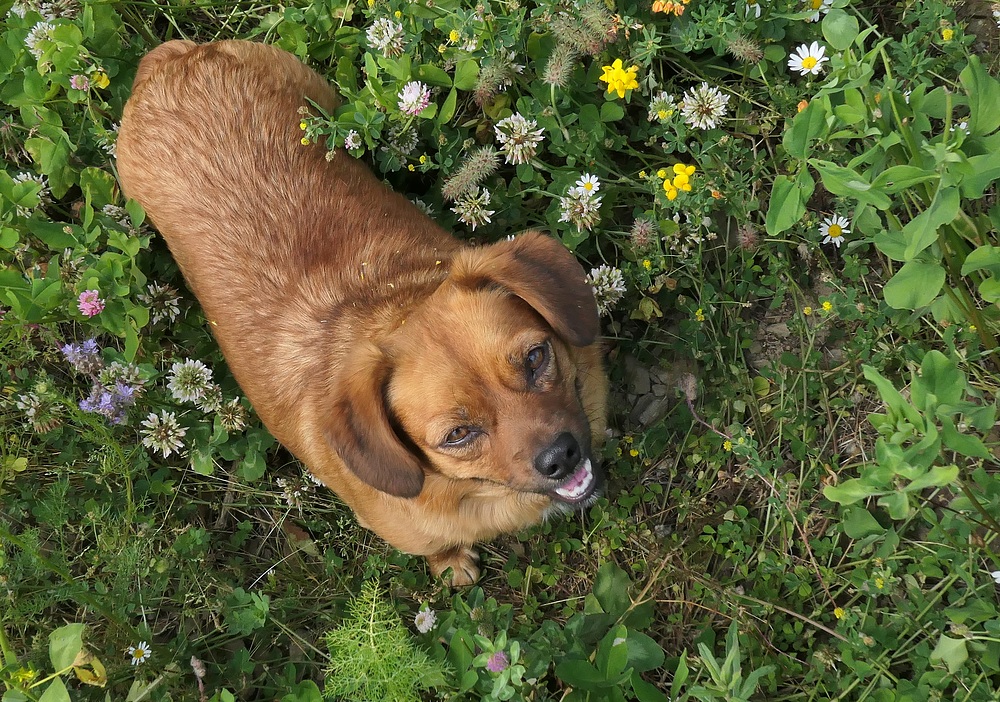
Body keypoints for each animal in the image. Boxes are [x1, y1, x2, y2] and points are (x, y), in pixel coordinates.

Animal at [113, 41, 604, 584]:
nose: (560, 456)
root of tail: (177, 58)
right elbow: (440, 548)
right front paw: (451, 564)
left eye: (536, 357)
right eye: (457, 435)